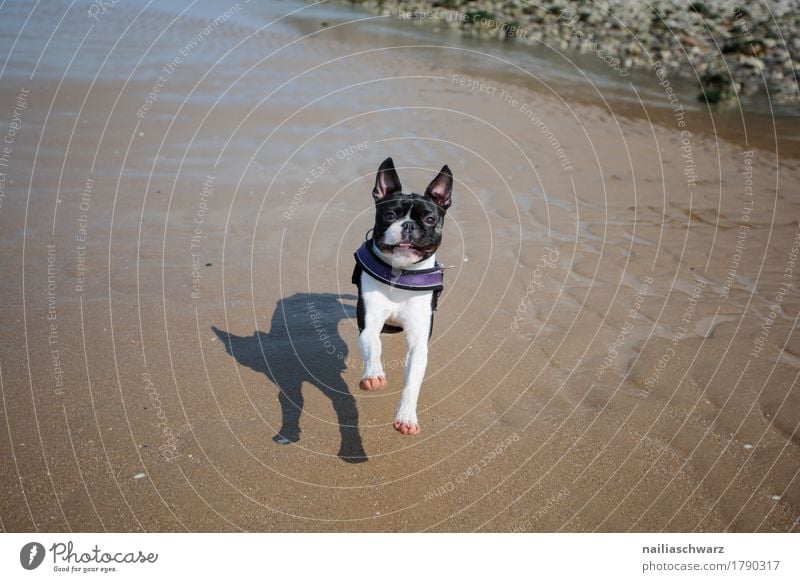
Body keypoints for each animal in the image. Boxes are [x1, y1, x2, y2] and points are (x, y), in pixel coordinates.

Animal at [354, 157, 454, 436]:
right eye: (389, 215)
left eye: (429, 219)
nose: (408, 225)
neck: (400, 273)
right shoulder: (370, 324)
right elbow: (373, 346)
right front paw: (374, 375)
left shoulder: (418, 343)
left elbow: (412, 383)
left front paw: (407, 417)